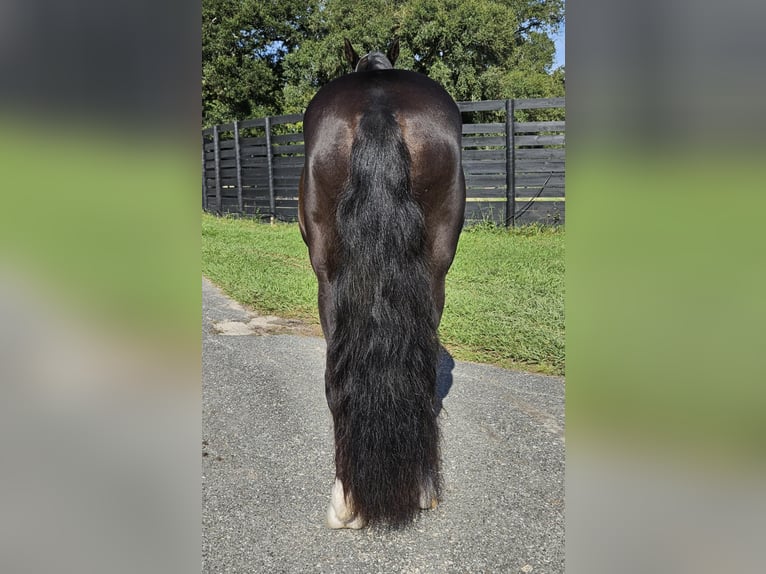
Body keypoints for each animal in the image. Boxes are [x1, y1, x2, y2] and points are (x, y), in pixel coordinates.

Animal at [298, 39, 465, 529]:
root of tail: (378, 105)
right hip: (434, 272)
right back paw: (424, 487)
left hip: (327, 279)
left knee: (336, 381)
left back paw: (345, 500)